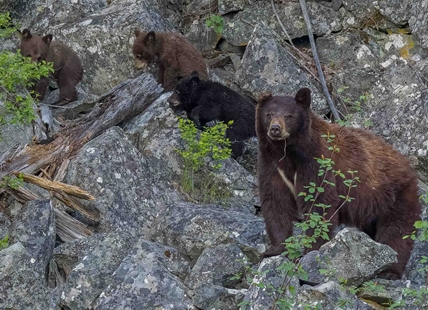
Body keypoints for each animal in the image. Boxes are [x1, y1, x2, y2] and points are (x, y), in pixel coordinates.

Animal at [258, 88, 422, 280]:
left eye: (289, 116)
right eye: (269, 114)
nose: (275, 129)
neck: (289, 153)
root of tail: (408, 165)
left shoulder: (317, 162)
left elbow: (319, 203)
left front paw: (312, 249)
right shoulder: (272, 166)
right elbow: (276, 203)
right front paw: (276, 249)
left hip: (396, 195)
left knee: (397, 231)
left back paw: (389, 271)